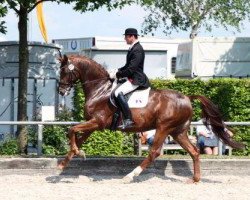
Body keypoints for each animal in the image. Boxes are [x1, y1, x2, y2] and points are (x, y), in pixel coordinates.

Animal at [57, 54, 244, 183]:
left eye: (64, 71)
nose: (61, 91)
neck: (100, 90)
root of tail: (187, 97)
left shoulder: (97, 122)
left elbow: (71, 130)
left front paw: (76, 153)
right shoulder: (93, 125)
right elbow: (76, 138)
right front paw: (64, 163)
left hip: (163, 128)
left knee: (154, 152)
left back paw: (130, 176)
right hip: (178, 132)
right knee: (194, 151)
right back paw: (195, 179)